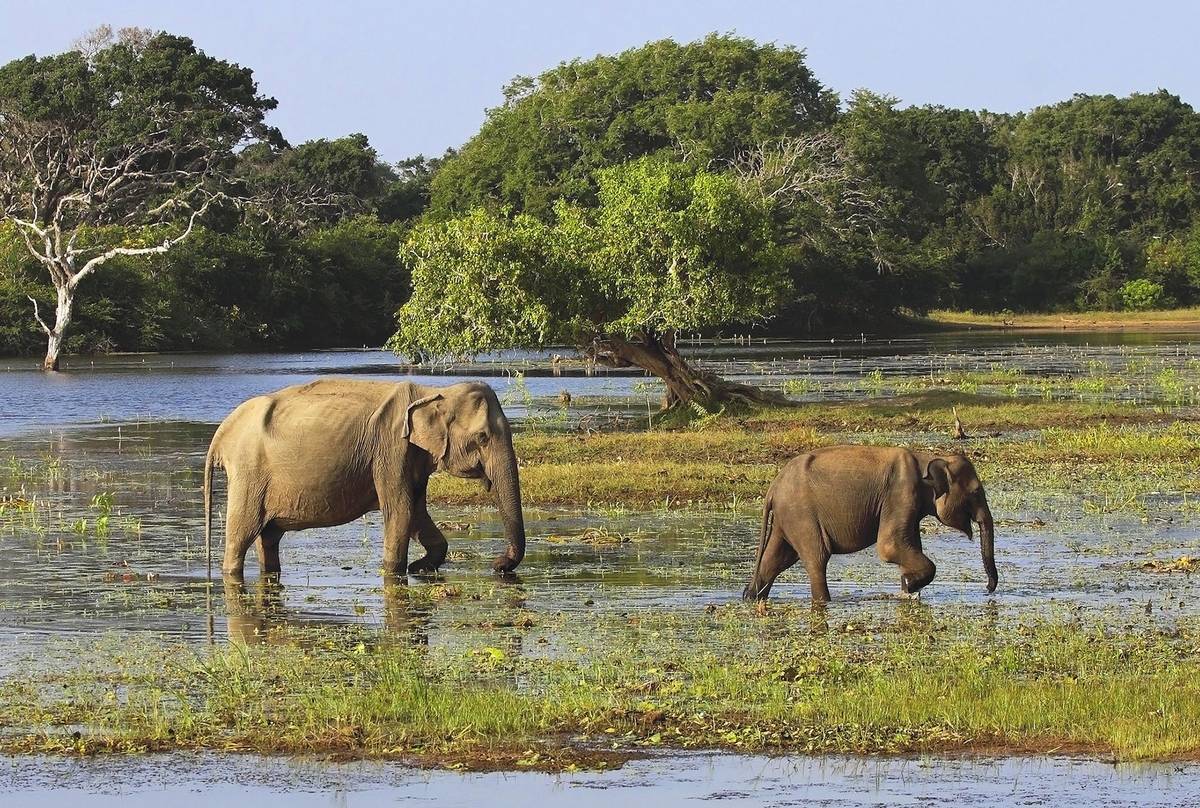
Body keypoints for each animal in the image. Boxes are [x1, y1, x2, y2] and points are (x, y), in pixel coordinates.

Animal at [202, 379, 525, 576]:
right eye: (482, 438)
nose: (497, 563)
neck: (434, 391)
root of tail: (222, 433)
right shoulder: (390, 449)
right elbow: (401, 511)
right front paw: (398, 569)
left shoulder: (411, 456)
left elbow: (417, 511)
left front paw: (419, 567)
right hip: (248, 473)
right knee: (241, 535)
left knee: (268, 537)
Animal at [744, 444, 998, 602]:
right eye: (976, 491)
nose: (988, 589)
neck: (927, 458)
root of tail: (773, 489)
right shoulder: (900, 493)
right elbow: (889, 546)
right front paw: (911, 585)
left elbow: (907, 545)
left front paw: (908, 587)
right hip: (801, 515)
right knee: (817, 558)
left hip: (788, 518)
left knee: (776, 559)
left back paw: (750, 596)